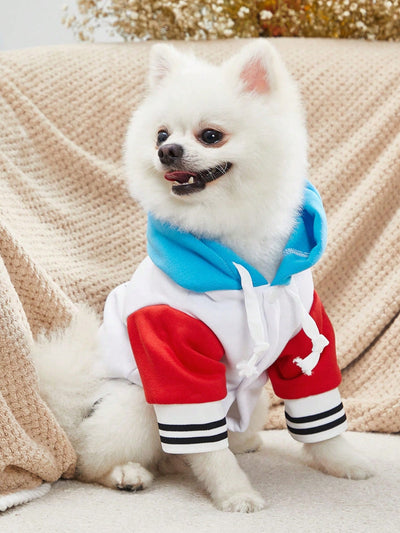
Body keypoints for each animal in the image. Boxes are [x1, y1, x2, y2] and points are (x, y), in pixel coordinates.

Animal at [32, 40, 374, 512]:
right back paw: (125, 473)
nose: (167, 151)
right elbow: (207, 448)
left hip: (250, 401)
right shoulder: (172, 344)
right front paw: (235, 493)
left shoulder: (305, 334)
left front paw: (344, 462)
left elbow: (319, 415)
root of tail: (76, 405)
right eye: (161, 135)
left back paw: (239, 445)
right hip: (134, 403)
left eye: (210, 135)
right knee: (91, 458)